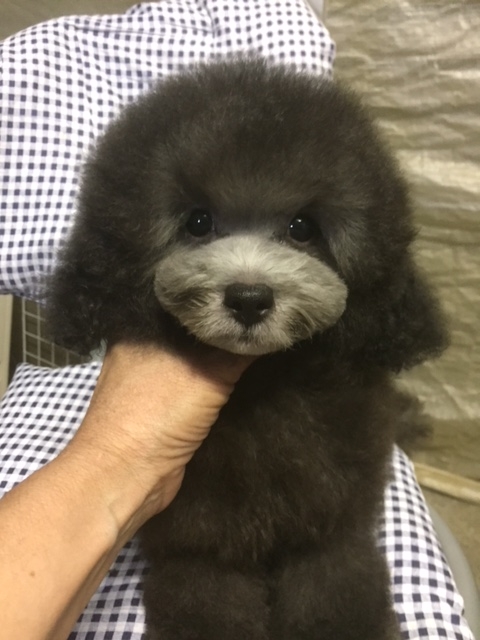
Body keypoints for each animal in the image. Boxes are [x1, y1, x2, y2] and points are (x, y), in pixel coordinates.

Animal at [47, 58, 447, 639]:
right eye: (198, 222)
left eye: (302, 227)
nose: (250, 298)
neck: (261, 390)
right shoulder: (201, 540)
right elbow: (209, 595)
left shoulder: (330, 522)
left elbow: (333, 583)